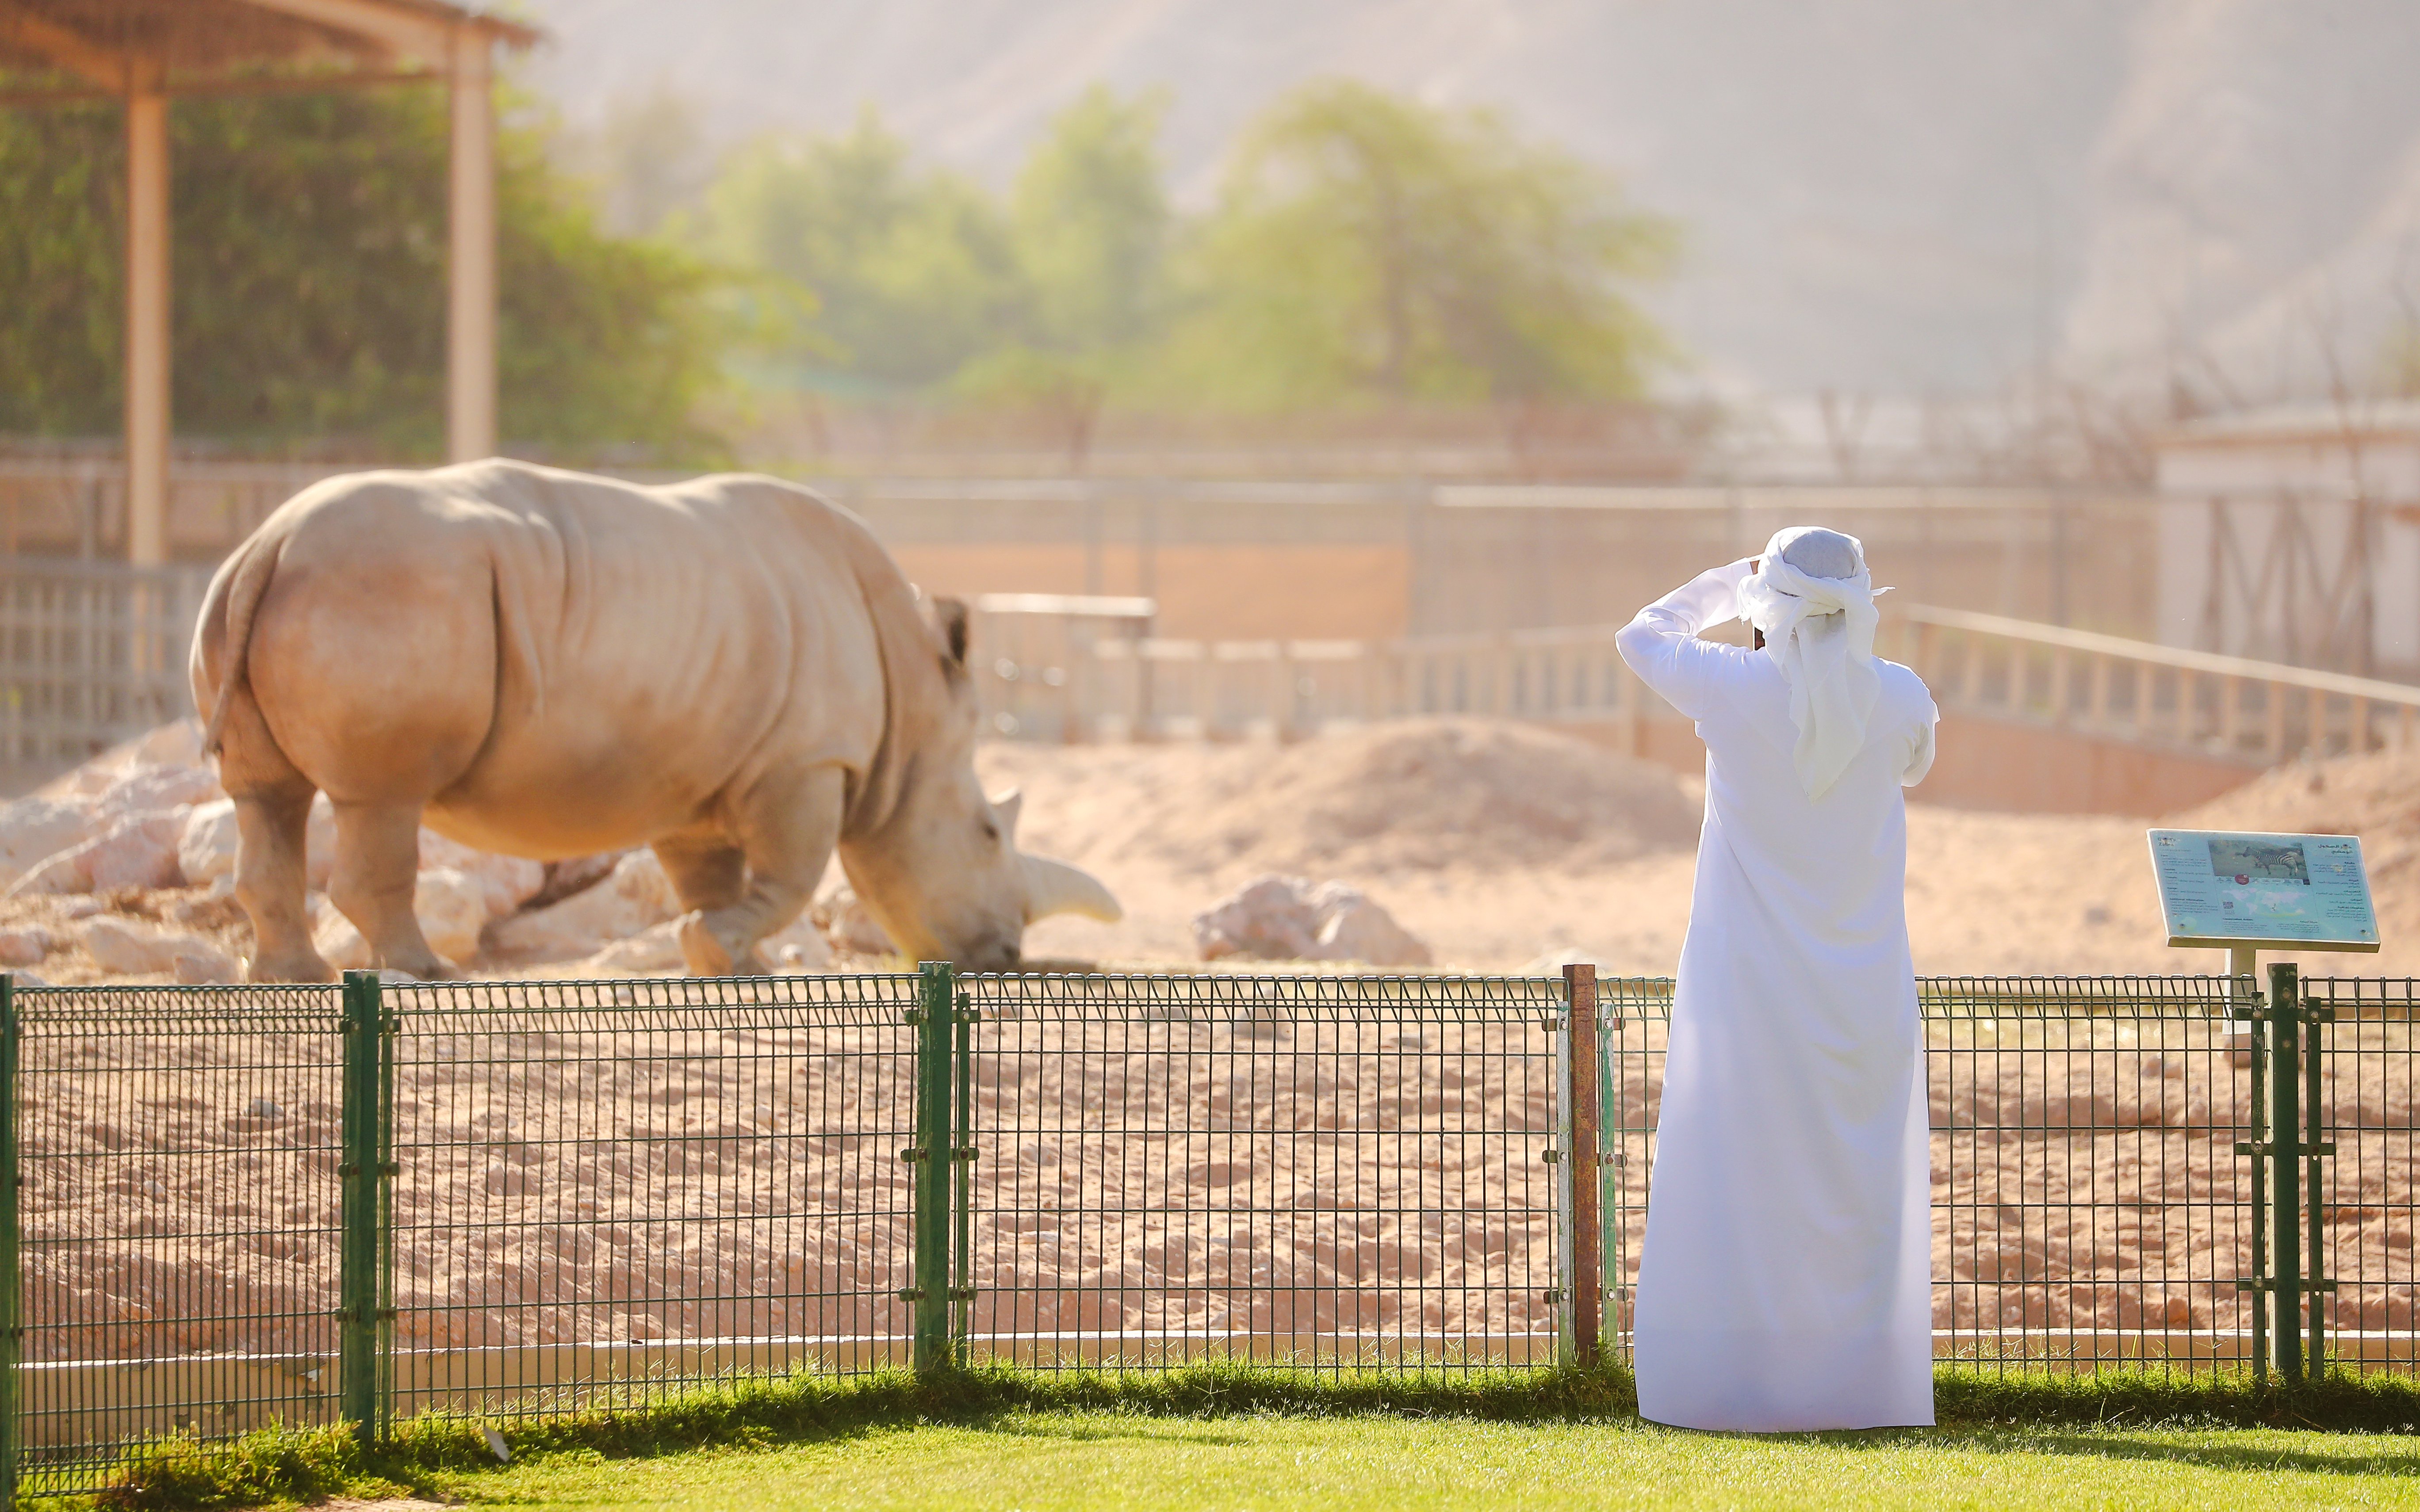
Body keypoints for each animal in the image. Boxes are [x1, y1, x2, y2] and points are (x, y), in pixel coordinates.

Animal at [190, 459, 1119, 981]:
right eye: (988, 836)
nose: (1006, 958)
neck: (913, 723)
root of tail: (269, 543)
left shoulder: (701, 766)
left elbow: (713, 875)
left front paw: (740, 966)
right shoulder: (809, 760)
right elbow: (790, 876)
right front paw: (722, 951)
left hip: (264, 590)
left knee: (266, 794)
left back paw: (293, 979)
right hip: (388, 591)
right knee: (380, 795)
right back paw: (424, 974)